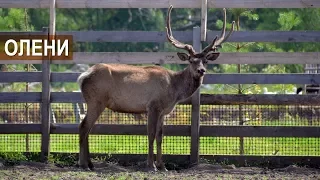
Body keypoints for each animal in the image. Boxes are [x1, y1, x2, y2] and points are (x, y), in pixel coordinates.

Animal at [76, 4, 234, 172]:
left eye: (206, 61)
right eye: (191, 60)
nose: (201, 70)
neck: (174, 89)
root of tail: (83, 76)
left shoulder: (163, 111)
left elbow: (160, 136)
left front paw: (162, 165)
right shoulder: (153, 106)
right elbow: (150, 134)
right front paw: (151, 165)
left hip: (95, 102)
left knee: (88, 128)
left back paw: (90, 164)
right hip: (96, 101)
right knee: (83, 126)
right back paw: (83, 164)